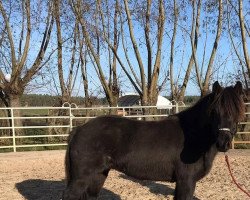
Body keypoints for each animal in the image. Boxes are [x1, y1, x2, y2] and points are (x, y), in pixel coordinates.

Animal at [62, 81, 244, 200]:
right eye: (214, 111)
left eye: (238, 112)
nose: (224, 142)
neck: (193, 136)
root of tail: (78, 129)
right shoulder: (186, 181)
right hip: (81, 179)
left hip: (98, 176)